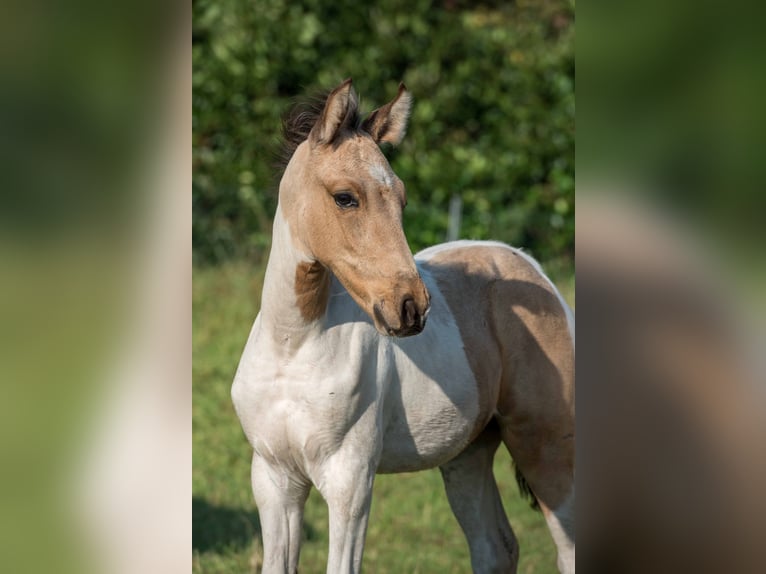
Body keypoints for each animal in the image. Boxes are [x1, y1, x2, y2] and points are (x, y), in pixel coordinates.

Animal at [234, 80, 576, 574]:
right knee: (496, 546)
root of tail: (530, 267)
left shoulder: (350, 481)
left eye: (402, 197)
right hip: (468, 453)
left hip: (546, 443)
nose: (411, 307)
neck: (293, 346)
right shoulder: (274, 479)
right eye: (345, 197)